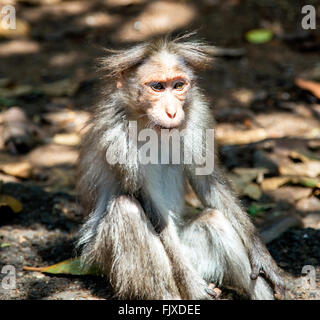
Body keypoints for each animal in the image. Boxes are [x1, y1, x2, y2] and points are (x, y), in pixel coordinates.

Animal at [75, 34, 284, 300]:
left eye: (178, 86)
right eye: (157, 87)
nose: (173, 111)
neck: (150, 125)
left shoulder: (198, 116)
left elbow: (207, 182)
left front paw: (262, 254)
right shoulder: (117, 136)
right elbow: (151, 205)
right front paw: (192, 284)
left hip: (196, 254)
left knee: (214, 220)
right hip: (106, 262)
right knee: (127, 210)